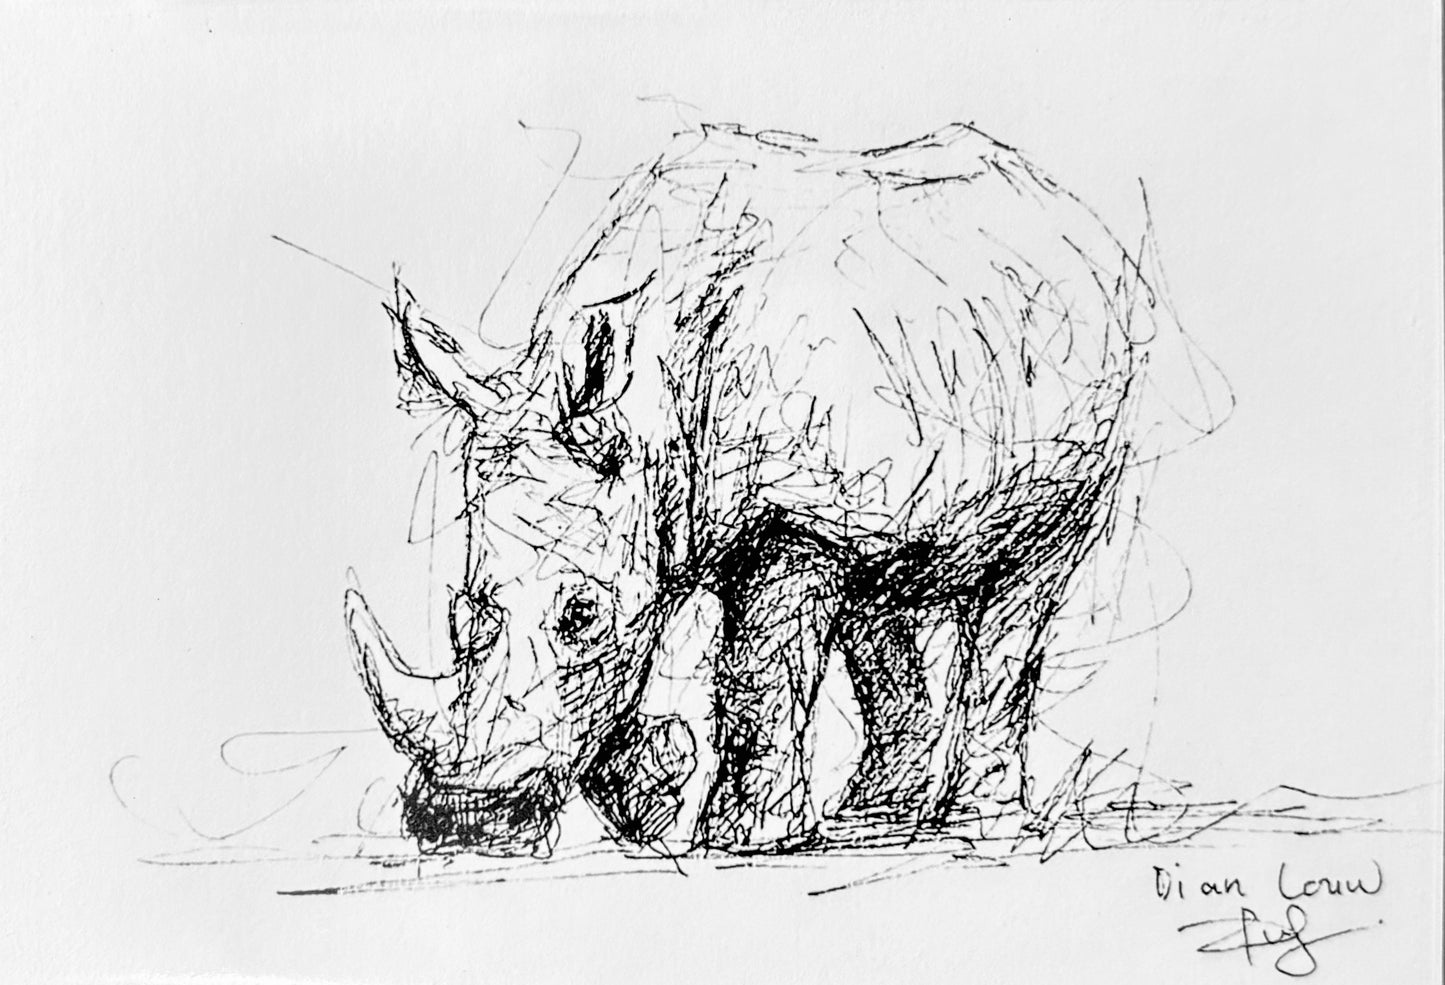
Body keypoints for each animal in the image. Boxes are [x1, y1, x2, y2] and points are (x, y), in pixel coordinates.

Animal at [344, 121, 1222, 857]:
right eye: (462, 614)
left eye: (580, 615)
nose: (460, 822)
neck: (648, 404)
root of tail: (1072, 213)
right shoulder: (707, 503)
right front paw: (654, 799)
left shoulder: (794, 516)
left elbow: (757, 665)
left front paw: (742, 838)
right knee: (884, 590)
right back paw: (876, 815)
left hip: (1097, 384)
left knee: (1029, 571)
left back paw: (978, 824)